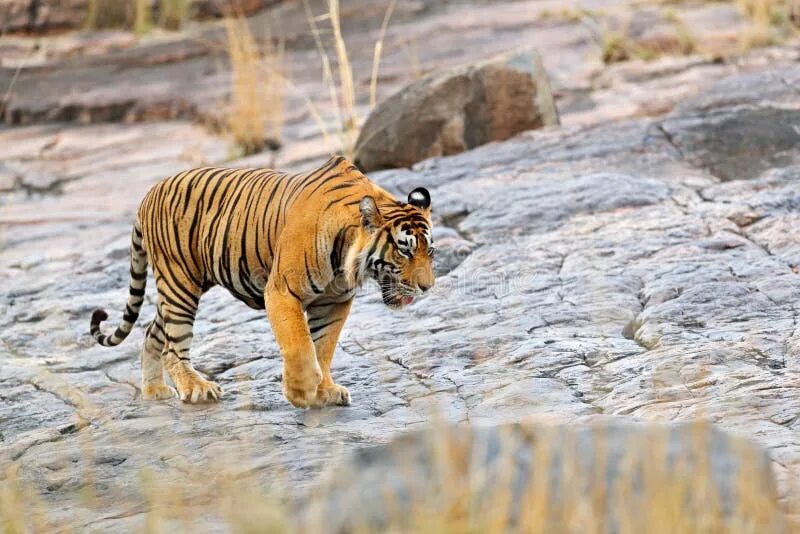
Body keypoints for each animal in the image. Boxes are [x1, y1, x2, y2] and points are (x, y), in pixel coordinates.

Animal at [90, 156, 434, 410]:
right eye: (404, 251)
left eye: (429, 251)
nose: (427, 287)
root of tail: (149, 193)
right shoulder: (282, 291)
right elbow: (300, 345)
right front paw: (301, 392)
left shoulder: (334, 302)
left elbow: (323, 346)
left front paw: (325, 390)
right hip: (179, 282)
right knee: (172, 346)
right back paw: (196, 389)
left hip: (181, 286)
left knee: (152, 333)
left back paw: (155, 391)